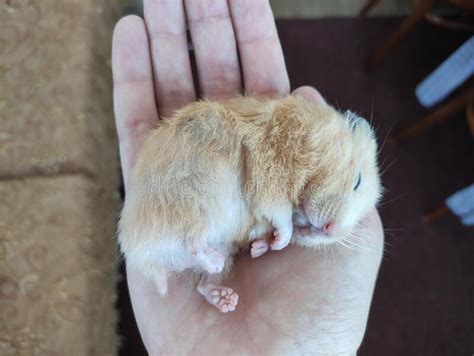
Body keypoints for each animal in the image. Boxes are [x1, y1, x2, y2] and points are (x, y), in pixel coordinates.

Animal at [118, 94, 382, 312]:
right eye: (357, 181)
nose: (331, 231)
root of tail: (142, 254)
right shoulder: (270, 175)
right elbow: (282, 216)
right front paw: (279, 241)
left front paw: (261, 247)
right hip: (198, 197)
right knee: (191, 240)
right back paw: (215, 263)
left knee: (203, 282)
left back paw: (226, 298)